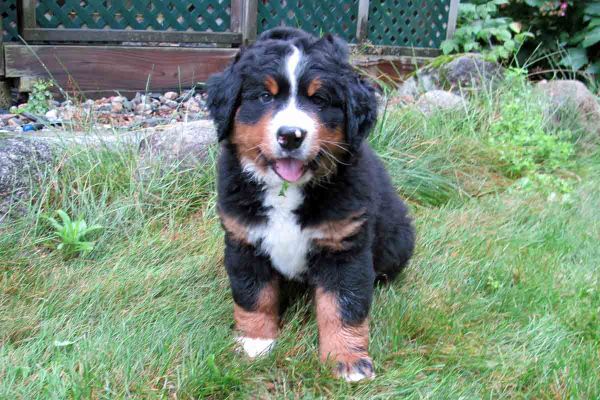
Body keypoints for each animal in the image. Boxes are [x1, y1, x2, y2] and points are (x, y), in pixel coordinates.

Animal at [205, 27, 412, 382]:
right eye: (265, 97)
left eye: (319, 100)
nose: (291, 135)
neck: (286, 190)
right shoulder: (244, 241)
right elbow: (253, 296)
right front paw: (255, 344)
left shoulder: (344, 247)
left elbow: (343, 306)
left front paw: (347, 359)